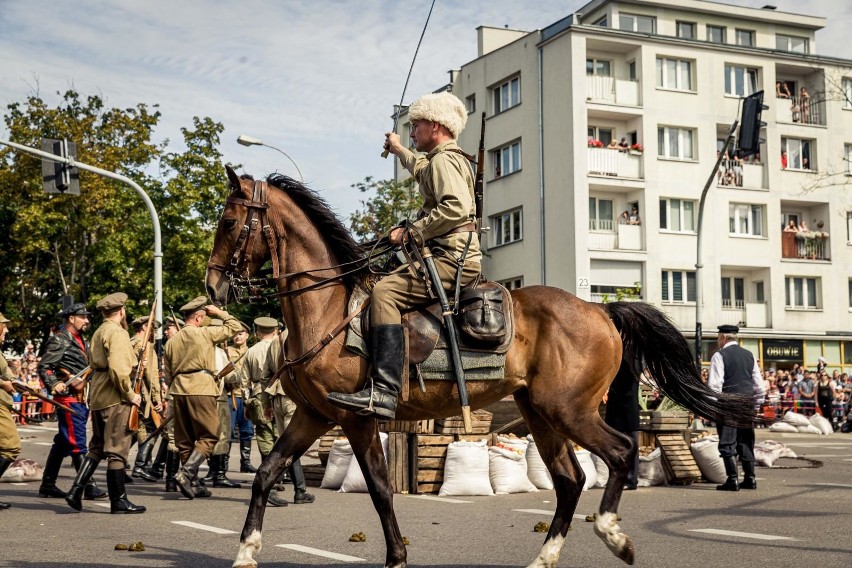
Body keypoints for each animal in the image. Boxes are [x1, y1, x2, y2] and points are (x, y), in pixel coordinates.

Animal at [208, 168, 760, 568]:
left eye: (230, 223)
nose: (213, 287)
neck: (327, 309)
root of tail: (601, 309)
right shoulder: (314, 416)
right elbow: (266, 475)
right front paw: (245, 553)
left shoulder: (357, 419)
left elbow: (382, 492)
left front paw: (397, 557)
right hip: (539, 413)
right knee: (570, 480)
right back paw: (545, 558)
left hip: (569, 410)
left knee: (620, 453)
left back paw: (613, 535)